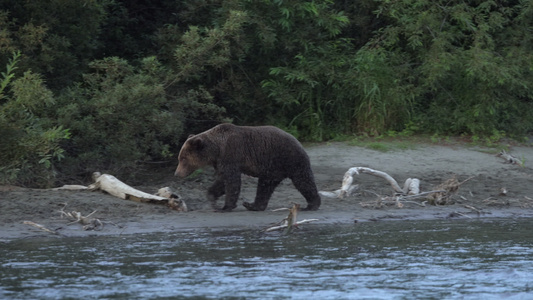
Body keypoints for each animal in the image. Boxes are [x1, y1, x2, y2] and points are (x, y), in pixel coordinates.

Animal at [175, 123, 320, 212]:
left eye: (183, 159)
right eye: (179, 158)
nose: (177, 174)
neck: (216, 149)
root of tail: (298, 141)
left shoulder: (231, 154)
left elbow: (232, 181)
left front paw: (226, 206)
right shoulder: (221, 161)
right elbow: (222, 180)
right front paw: (212, 196)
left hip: (288, 159)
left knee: (303, 181)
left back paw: (312, 205)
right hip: (272, 169)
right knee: (265, 186)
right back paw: (252, 205)